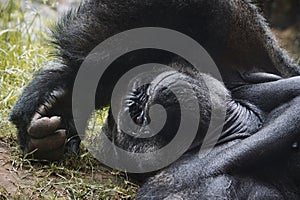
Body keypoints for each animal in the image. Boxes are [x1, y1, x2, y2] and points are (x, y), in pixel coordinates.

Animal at [8, 0, 300, 199]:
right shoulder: (182, 183)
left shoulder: (241, 56)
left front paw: (62, 96)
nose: (139, 101)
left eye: (137, 106)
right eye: (136, 118)